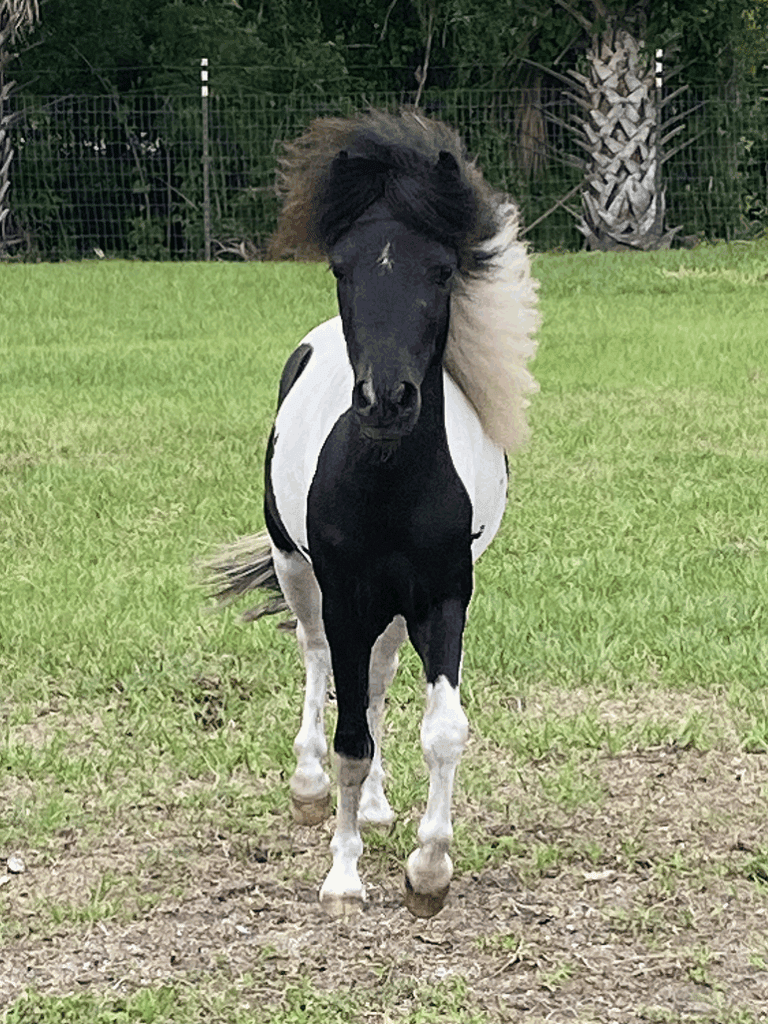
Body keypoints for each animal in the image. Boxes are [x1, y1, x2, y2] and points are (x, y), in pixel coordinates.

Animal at [208, 109, 540, 917]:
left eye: (443, 269)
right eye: (341, 267)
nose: (387, 400)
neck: (390, 486)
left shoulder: (444, 597)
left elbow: (441, 729)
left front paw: (429, 871)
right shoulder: (347, 596)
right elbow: (349, 736)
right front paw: (343, 877)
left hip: (393, 608)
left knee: (382, 679)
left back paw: (384, 807)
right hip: (298, 573)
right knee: (317, 659)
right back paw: (308, 789)